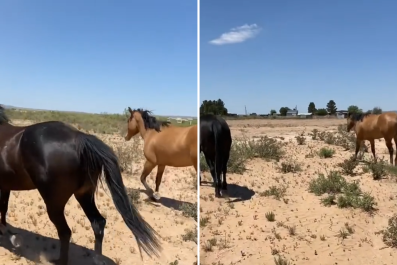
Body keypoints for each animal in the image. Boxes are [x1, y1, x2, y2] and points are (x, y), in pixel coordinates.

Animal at [0, 106, 162, 262]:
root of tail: (80, 138)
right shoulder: (5, 186)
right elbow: (4, 207)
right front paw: (4, 230)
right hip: (84, 194)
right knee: (98, 223)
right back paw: (97, 259)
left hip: (55, 203)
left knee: (65, 232)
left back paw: (59, 260)